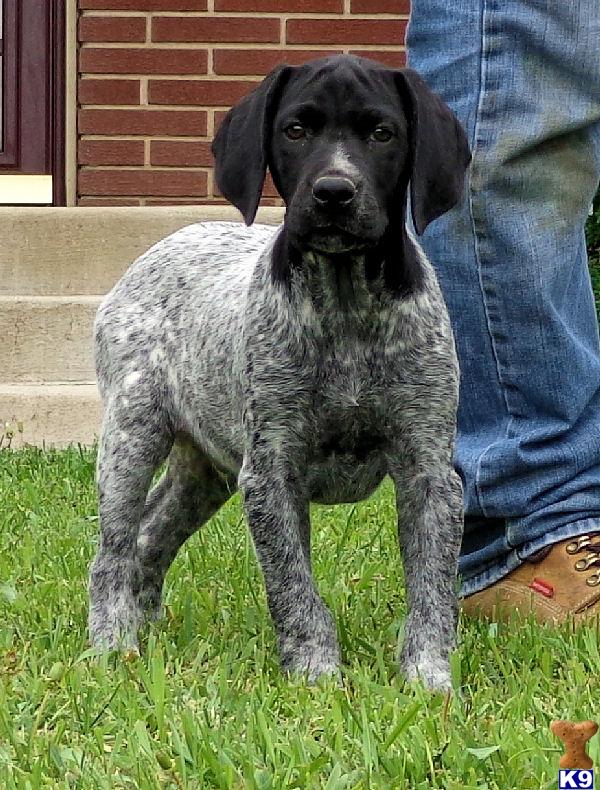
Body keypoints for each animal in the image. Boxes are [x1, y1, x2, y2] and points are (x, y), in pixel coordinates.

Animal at [90, 52, 468, 688]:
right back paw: (112, 647)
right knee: (112, 552)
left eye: (382, 133)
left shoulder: (429, 471)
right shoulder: (272, 471)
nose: (333, 192)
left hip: (205, 470)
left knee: (149, 536)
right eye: (295, 130)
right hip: (131, 438)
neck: (346, 306)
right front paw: (316, 674)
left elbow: (432, 591)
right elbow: (294, 589)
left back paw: (145, 634)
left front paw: (429, 679)